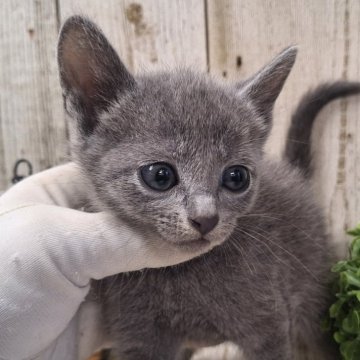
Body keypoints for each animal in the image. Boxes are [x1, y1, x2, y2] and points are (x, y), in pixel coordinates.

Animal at [57, 15, 358, 358]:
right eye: (160, 176)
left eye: (236, 177)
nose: (206, 218)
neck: (186, 275)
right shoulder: (137, 333)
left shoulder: (269, 324)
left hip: (314, 291)